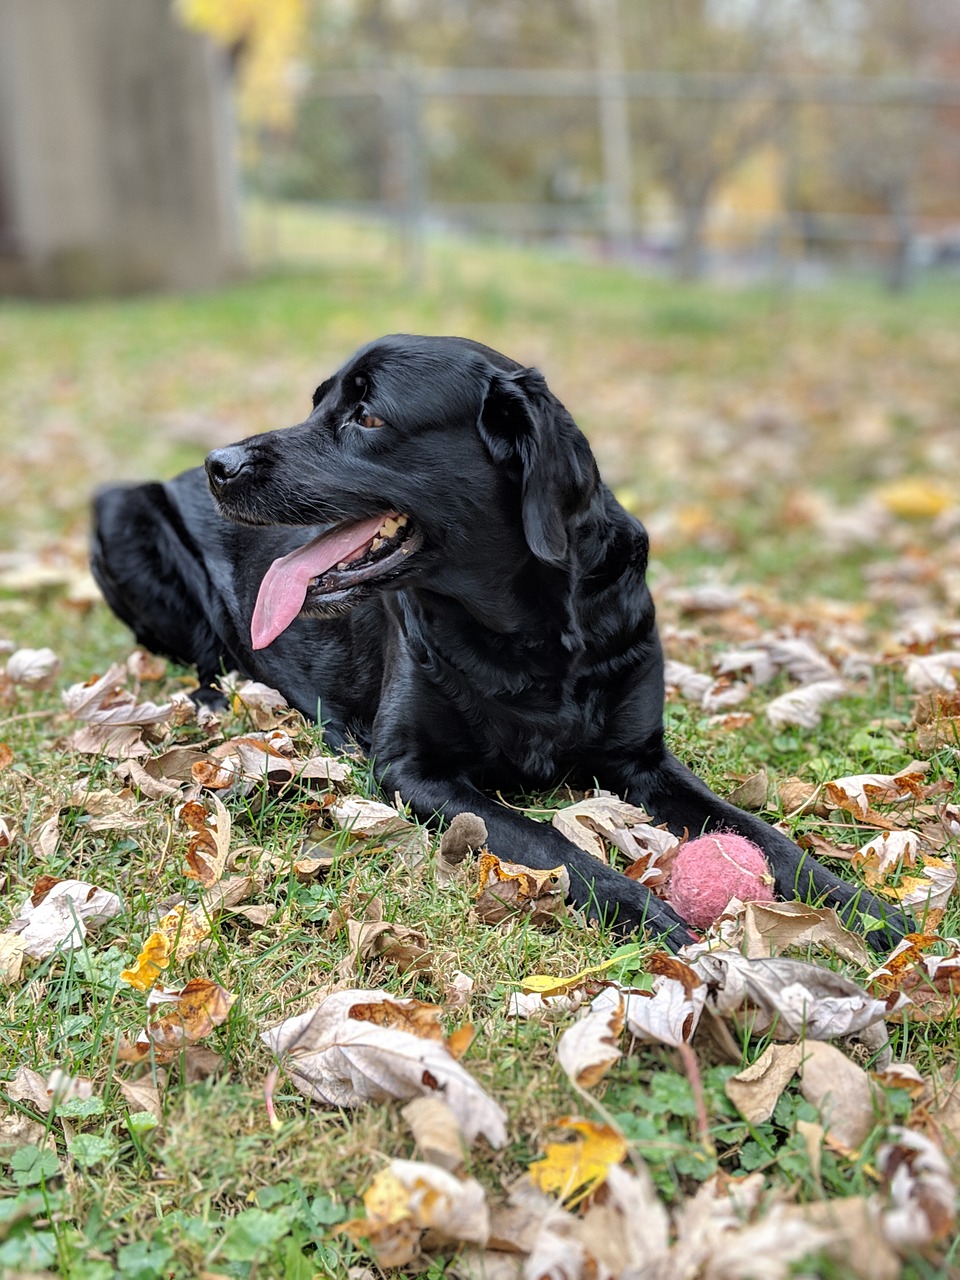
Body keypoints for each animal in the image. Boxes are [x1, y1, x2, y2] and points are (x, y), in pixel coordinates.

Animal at [92, 330, 911, 952]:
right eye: (320, 402)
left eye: (368, 417)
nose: (220, 464)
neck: (531, 637)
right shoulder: (415, 770)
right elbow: (554, 847)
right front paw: (657, 919)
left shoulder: (643, 759)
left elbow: (767, 838)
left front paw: (867, 911)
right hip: (119, 508)